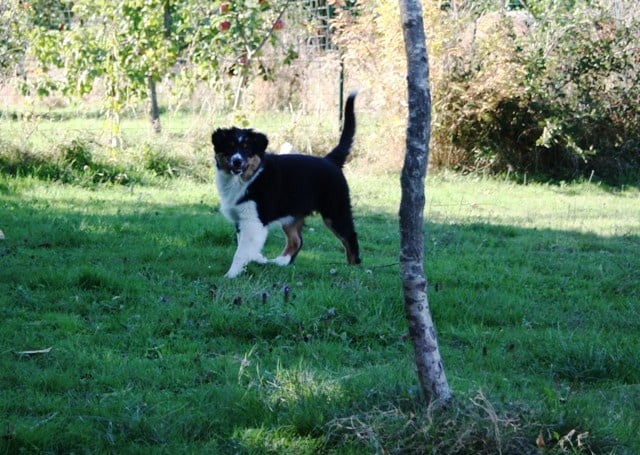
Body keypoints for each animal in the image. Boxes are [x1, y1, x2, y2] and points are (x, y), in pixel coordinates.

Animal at [212, 92, 361, 278]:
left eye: (246, 148)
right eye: (230, 146)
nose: (237, 162)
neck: (248, 179)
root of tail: (330, 160)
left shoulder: (252, 219)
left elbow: (241, 251)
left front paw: (230, 275)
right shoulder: (241, 219)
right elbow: (245, 246)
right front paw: (256, 259)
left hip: (335, 210)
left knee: (350, 236)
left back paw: (353, 269)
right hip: (292, 213)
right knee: (296, 240)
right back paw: (279, 262)